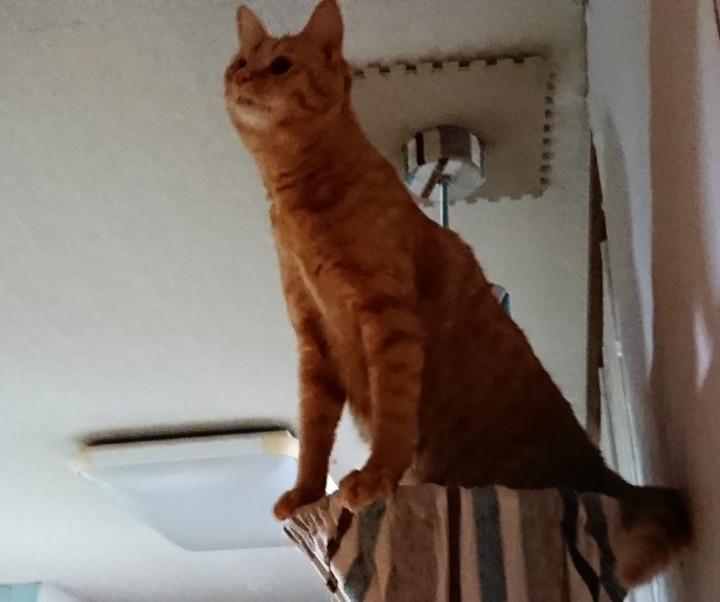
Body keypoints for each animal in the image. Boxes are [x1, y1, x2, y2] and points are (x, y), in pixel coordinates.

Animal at [224, 0, 690, 585]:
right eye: (240, 62)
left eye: (281, 65)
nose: (243, 79)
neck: (295, 197)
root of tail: (607, 478)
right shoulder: (315, 342)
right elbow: (313, 435)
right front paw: (308, 494)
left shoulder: (388, 317)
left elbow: (393, 416)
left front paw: (375, 477)